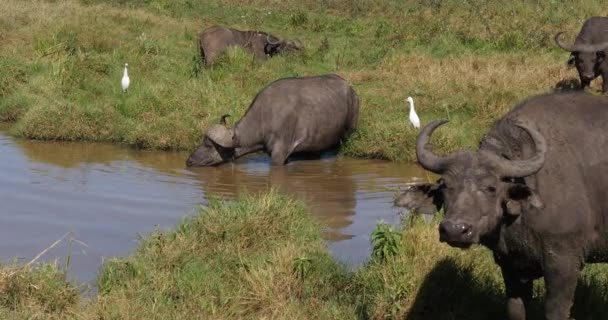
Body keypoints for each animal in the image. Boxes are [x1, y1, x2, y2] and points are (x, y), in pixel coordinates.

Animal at [185, 73, 356, 166]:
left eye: (208, 145)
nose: (189, 161)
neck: (263, 118)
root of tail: (350, 89)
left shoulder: (278, 155)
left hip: (348, 135)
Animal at [396, 92, 608, 320]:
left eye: (490, 187)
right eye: (445, 186)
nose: (454, 230)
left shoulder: (563, 263)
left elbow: (555, 311)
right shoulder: (509, 265)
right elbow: (515, 310)